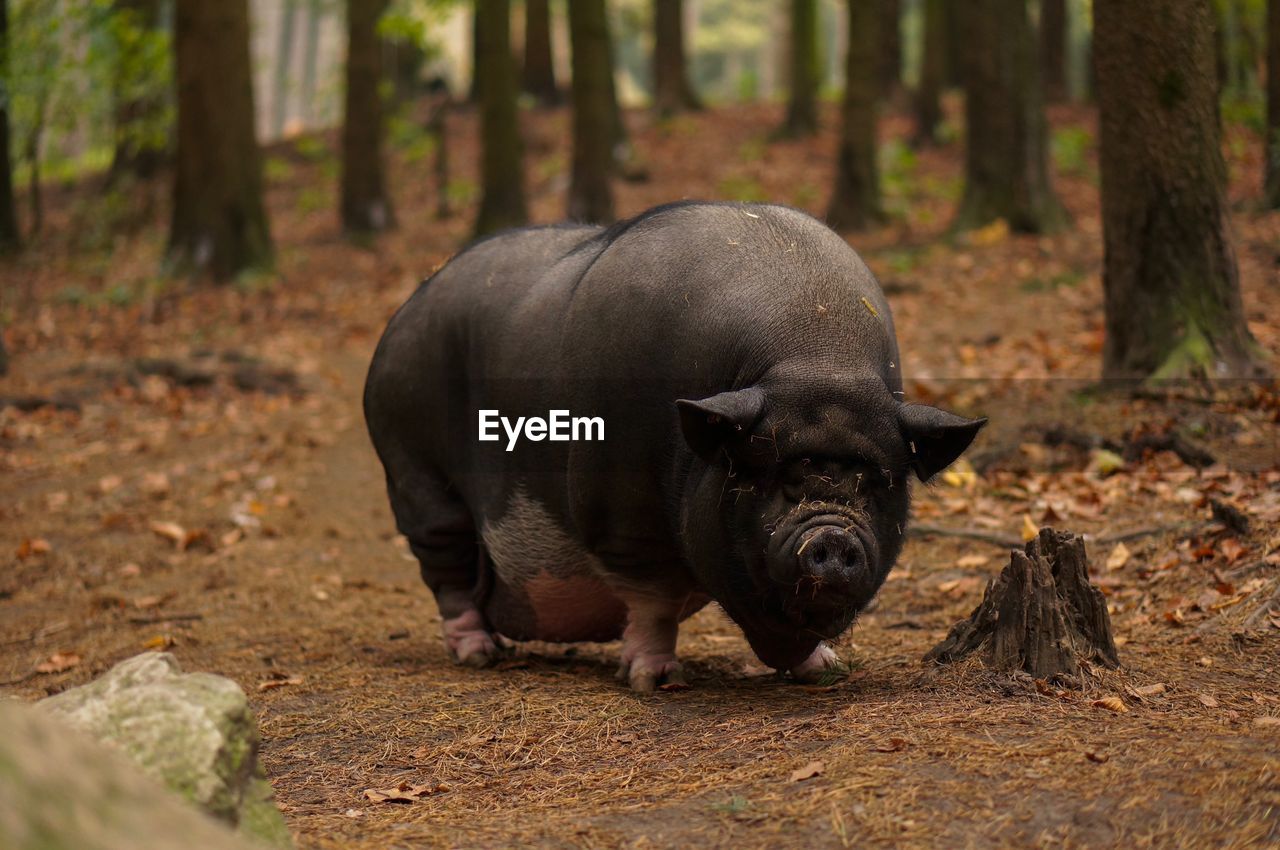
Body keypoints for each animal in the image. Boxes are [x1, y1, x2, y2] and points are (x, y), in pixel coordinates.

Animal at [366, 204, 983, 691]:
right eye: (774, 475)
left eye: (875, 482)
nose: (831, 534)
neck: (816, 359)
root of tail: (401, 316)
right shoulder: (624, 514)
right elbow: (653, 599)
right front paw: (653, 680)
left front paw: (824, 668)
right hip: (416, 471)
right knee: (446, 569)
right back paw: (480, 655)